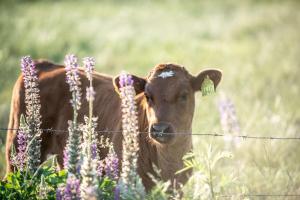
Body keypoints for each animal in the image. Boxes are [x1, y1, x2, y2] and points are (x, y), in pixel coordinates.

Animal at [4, 61, 220, 191]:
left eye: (184, 95)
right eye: (148, 95)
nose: (160, 129)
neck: (167, 162)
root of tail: (45, 65)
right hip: (18, 153)